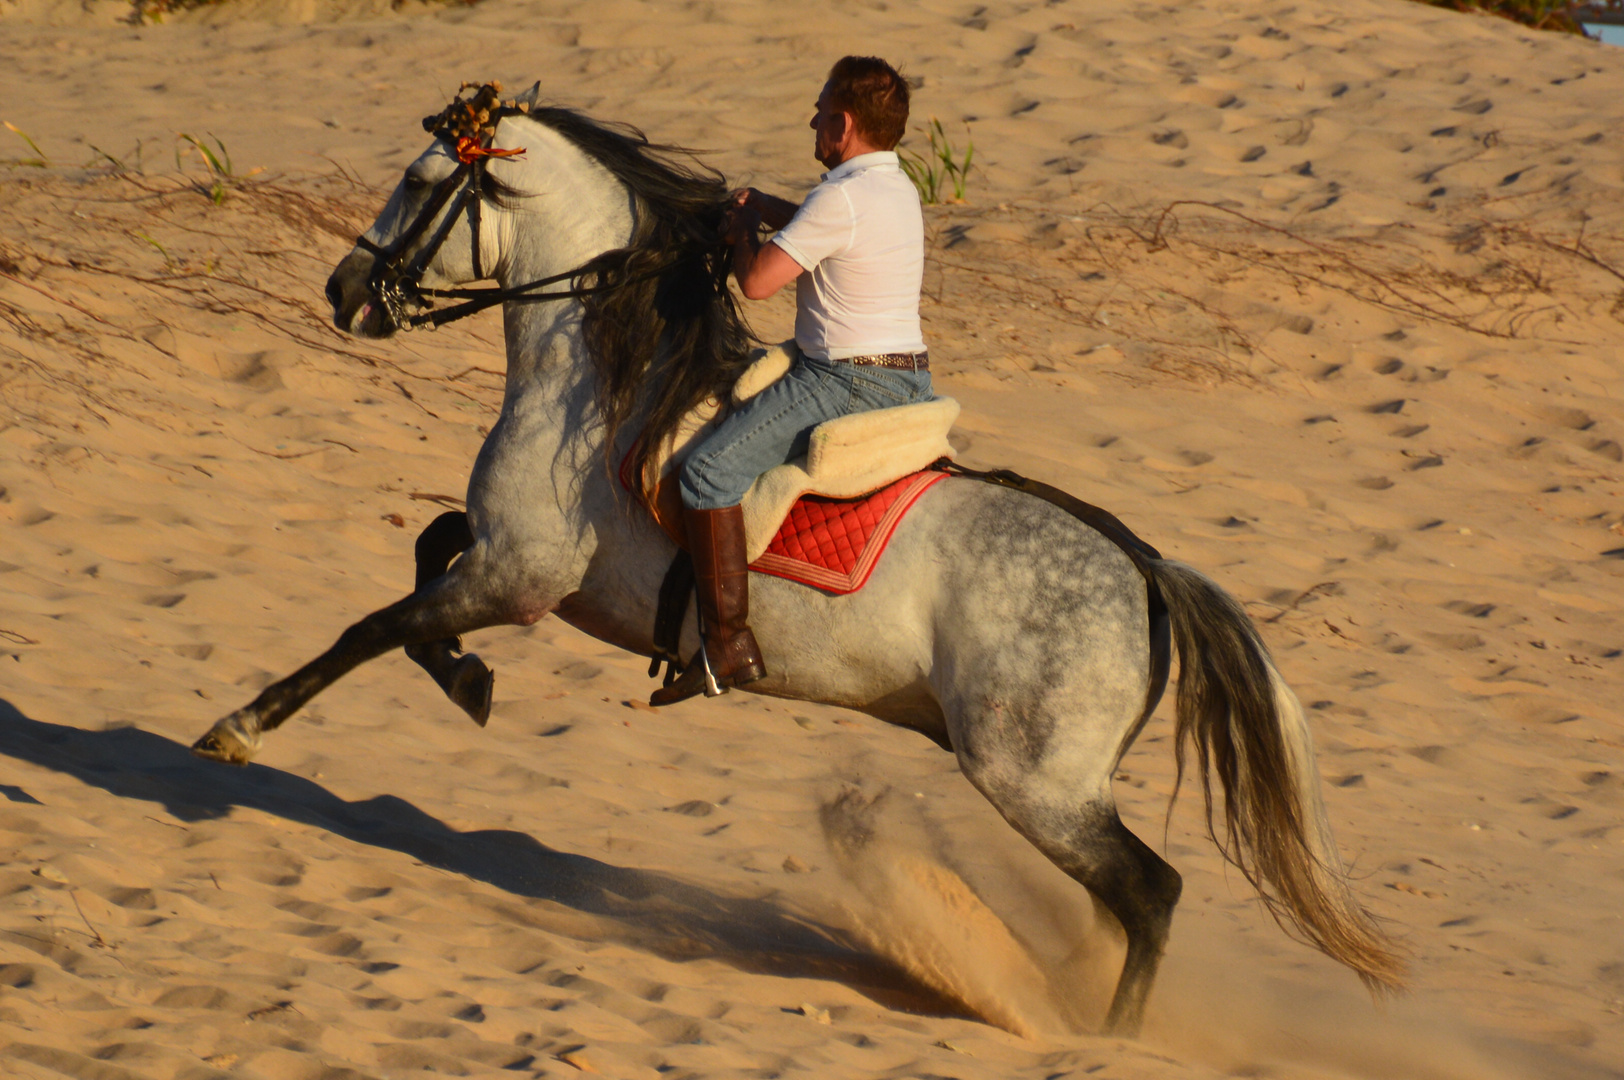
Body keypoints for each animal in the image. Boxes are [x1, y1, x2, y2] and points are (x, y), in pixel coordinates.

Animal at [190, 86, 1403, 1039]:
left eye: (417, 180)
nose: (345, 293)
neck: (609, 383)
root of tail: (1146, 569)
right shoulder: (504, 564)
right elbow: (420, 558)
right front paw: (468, 680)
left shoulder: (521, 578)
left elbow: (371, 626)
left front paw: (240, 729)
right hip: (1050, 786)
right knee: (1127, 898)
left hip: (1033, 782)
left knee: (1151, 891)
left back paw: (1102, 1034)